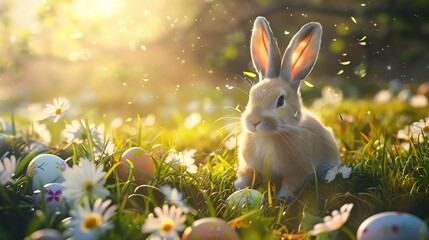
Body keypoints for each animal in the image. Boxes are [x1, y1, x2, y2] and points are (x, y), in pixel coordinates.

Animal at [232, 16, 340, 199]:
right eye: (252, 94)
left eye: (280, 101)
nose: (254, 121)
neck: (267, 136)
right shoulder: (249, 166)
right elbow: (246, 176)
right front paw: (237, 188)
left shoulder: (297, 171)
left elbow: (290, 184)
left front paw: (282, 198)